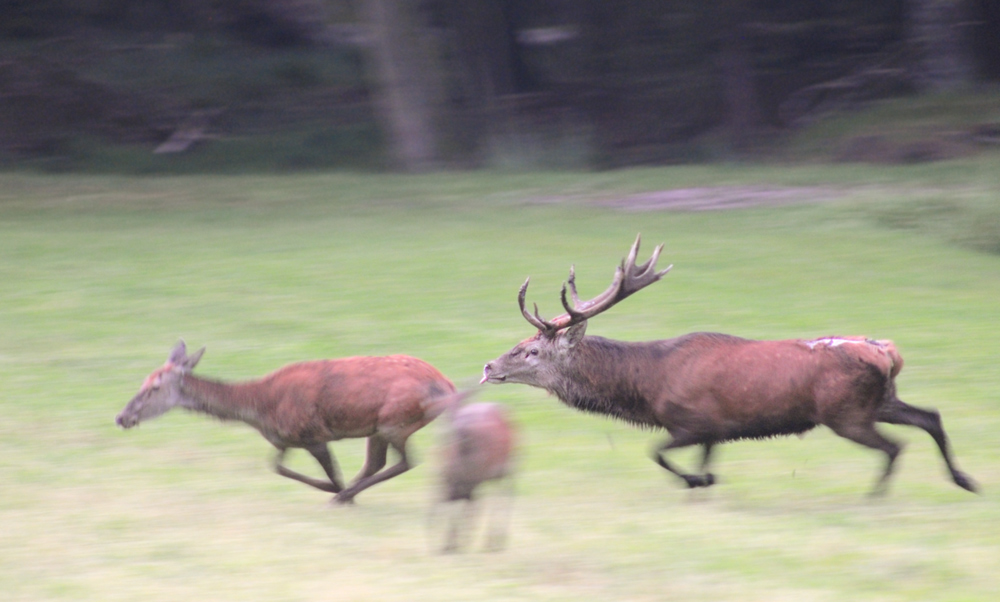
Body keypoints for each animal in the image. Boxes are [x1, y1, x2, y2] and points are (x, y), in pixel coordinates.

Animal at [117, 342, 458, 502]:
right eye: (143, 381)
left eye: (154, 388)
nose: (122, 417)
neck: (260, 410)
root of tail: (448, 386)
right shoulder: (284, 439)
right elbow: (276, 465)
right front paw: (335, 490)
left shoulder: (312, 433)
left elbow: (331, 472)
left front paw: (335, 490)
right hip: (378, 427)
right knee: (378, 461)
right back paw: (349, 493)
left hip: (395, 419)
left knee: (406, 461)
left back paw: (345, 496)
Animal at [480, 233, 980, 492]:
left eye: (532, 350)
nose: (487, 366)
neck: (648, 389)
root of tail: (887, 351)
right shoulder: (715, 432)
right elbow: (702, 463)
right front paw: (705, 481)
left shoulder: (694, 420)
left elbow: (657, 454)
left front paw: (697, 482)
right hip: (880, 401)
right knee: (931, 417)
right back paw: (964, 479)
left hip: (846, 413)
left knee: (896, 447)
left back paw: (874, 498)